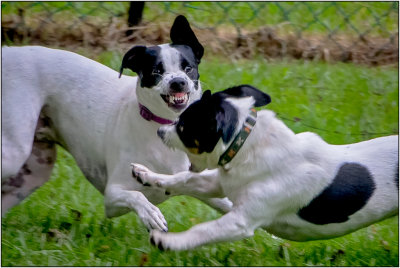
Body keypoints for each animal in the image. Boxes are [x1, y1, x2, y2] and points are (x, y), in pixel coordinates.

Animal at [1, 15, 231, 230]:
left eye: (188, 68)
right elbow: (137, 197)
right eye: (156, 71)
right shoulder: (113, 195)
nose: (178, 82)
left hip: (34, 171)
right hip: (14, 154)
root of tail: (8, 52)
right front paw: (151, 214)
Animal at [132, 86, 400, 251]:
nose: (160, 130)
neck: (249, 145)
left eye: (183, 127)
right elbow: (183, 179)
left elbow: (204, 230)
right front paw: (147, 175)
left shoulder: (240, 222)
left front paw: (169, 241)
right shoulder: (218, 183)